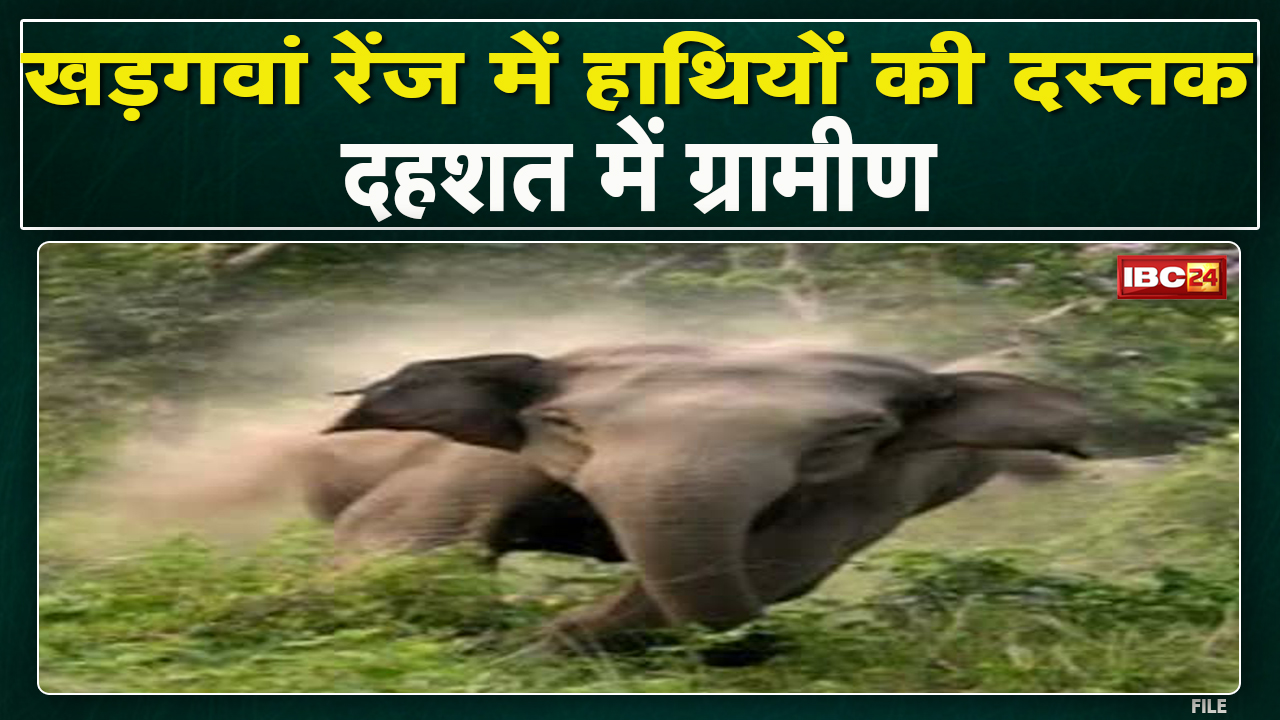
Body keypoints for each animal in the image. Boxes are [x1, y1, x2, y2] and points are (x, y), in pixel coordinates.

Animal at [321, 343, 1089, 650]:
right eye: (565, 425)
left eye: (851, 433)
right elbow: (401, 540)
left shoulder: (864, 490)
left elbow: (775, 569)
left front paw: (547, 641)